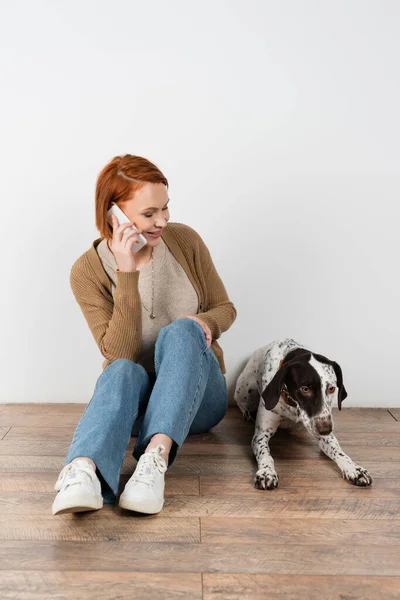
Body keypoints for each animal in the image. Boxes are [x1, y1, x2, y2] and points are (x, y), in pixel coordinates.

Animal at [233, 340, 374, 490]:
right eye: (305, 389)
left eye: (331, 388)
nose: (325, 429)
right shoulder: (261, 435)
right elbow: (265, 454)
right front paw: (266, 472)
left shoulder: (325, 432)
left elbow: (339, 451)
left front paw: (354, 468)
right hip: (244, 389)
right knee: (241, 402)